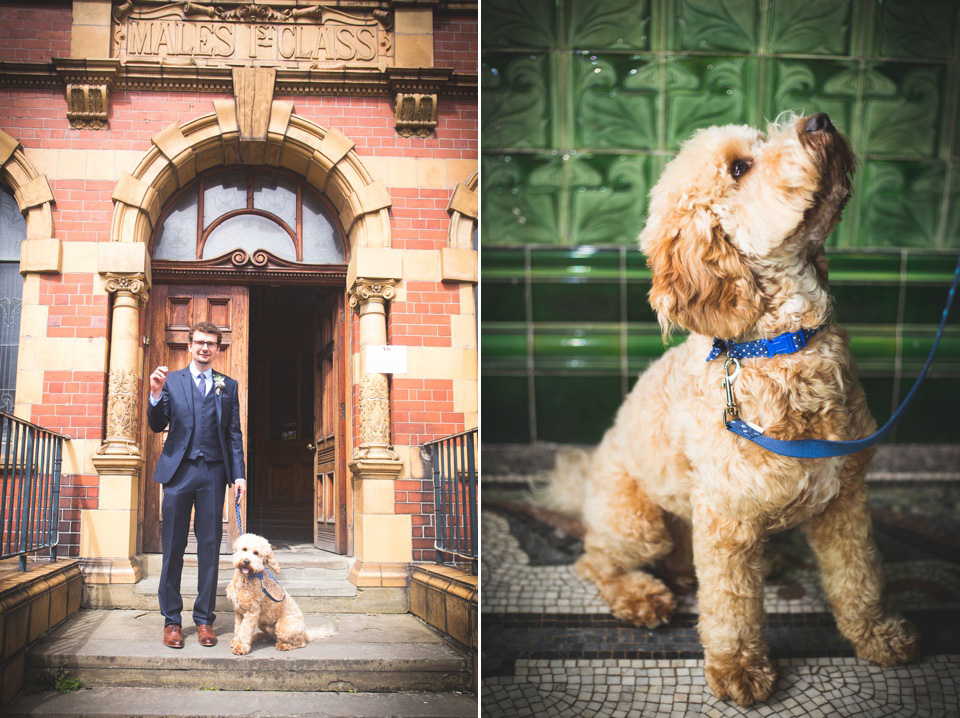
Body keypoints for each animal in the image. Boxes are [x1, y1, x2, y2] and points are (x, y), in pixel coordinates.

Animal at [544, 114, 920, 708]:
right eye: (740, 168)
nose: (820, 120)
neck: (783, 347)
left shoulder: (846, 501)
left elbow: (859, 576)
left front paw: (877, 634)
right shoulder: (726, 517)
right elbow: (730, 608)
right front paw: (739, 669)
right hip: (638, 522)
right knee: (595, 560)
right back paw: (641, 595)